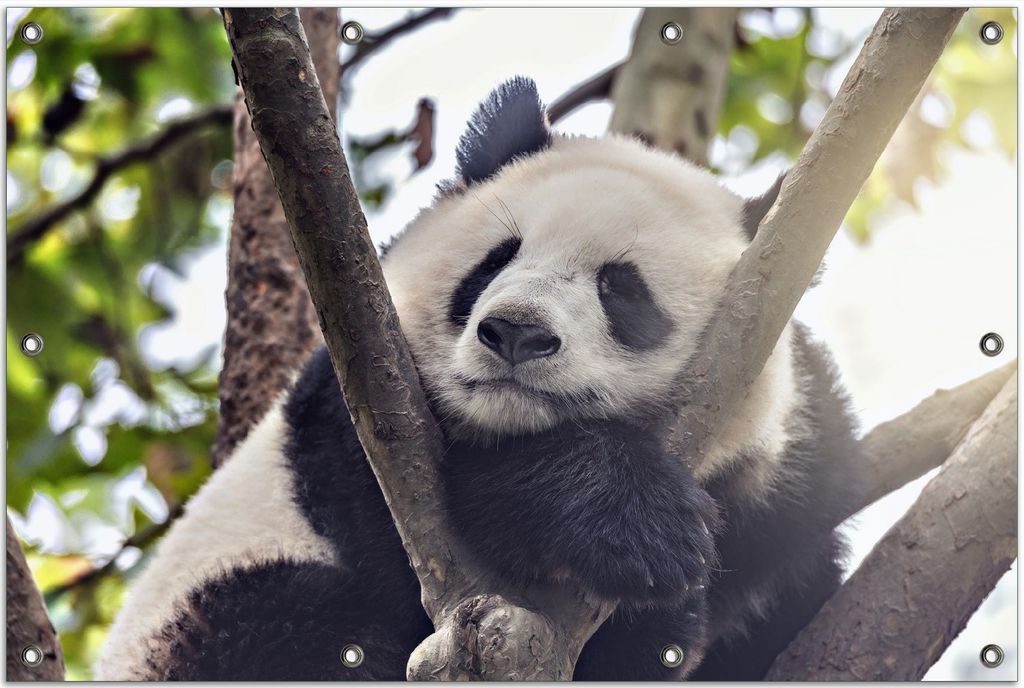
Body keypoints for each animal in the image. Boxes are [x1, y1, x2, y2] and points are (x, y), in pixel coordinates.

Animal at [96, 77, 862, 681]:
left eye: (622, 289)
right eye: (496, 260)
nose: (515, 332)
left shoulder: (789, 481)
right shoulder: (357, 393)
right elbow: (413, 517)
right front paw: (633, 525)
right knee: (292, 625)